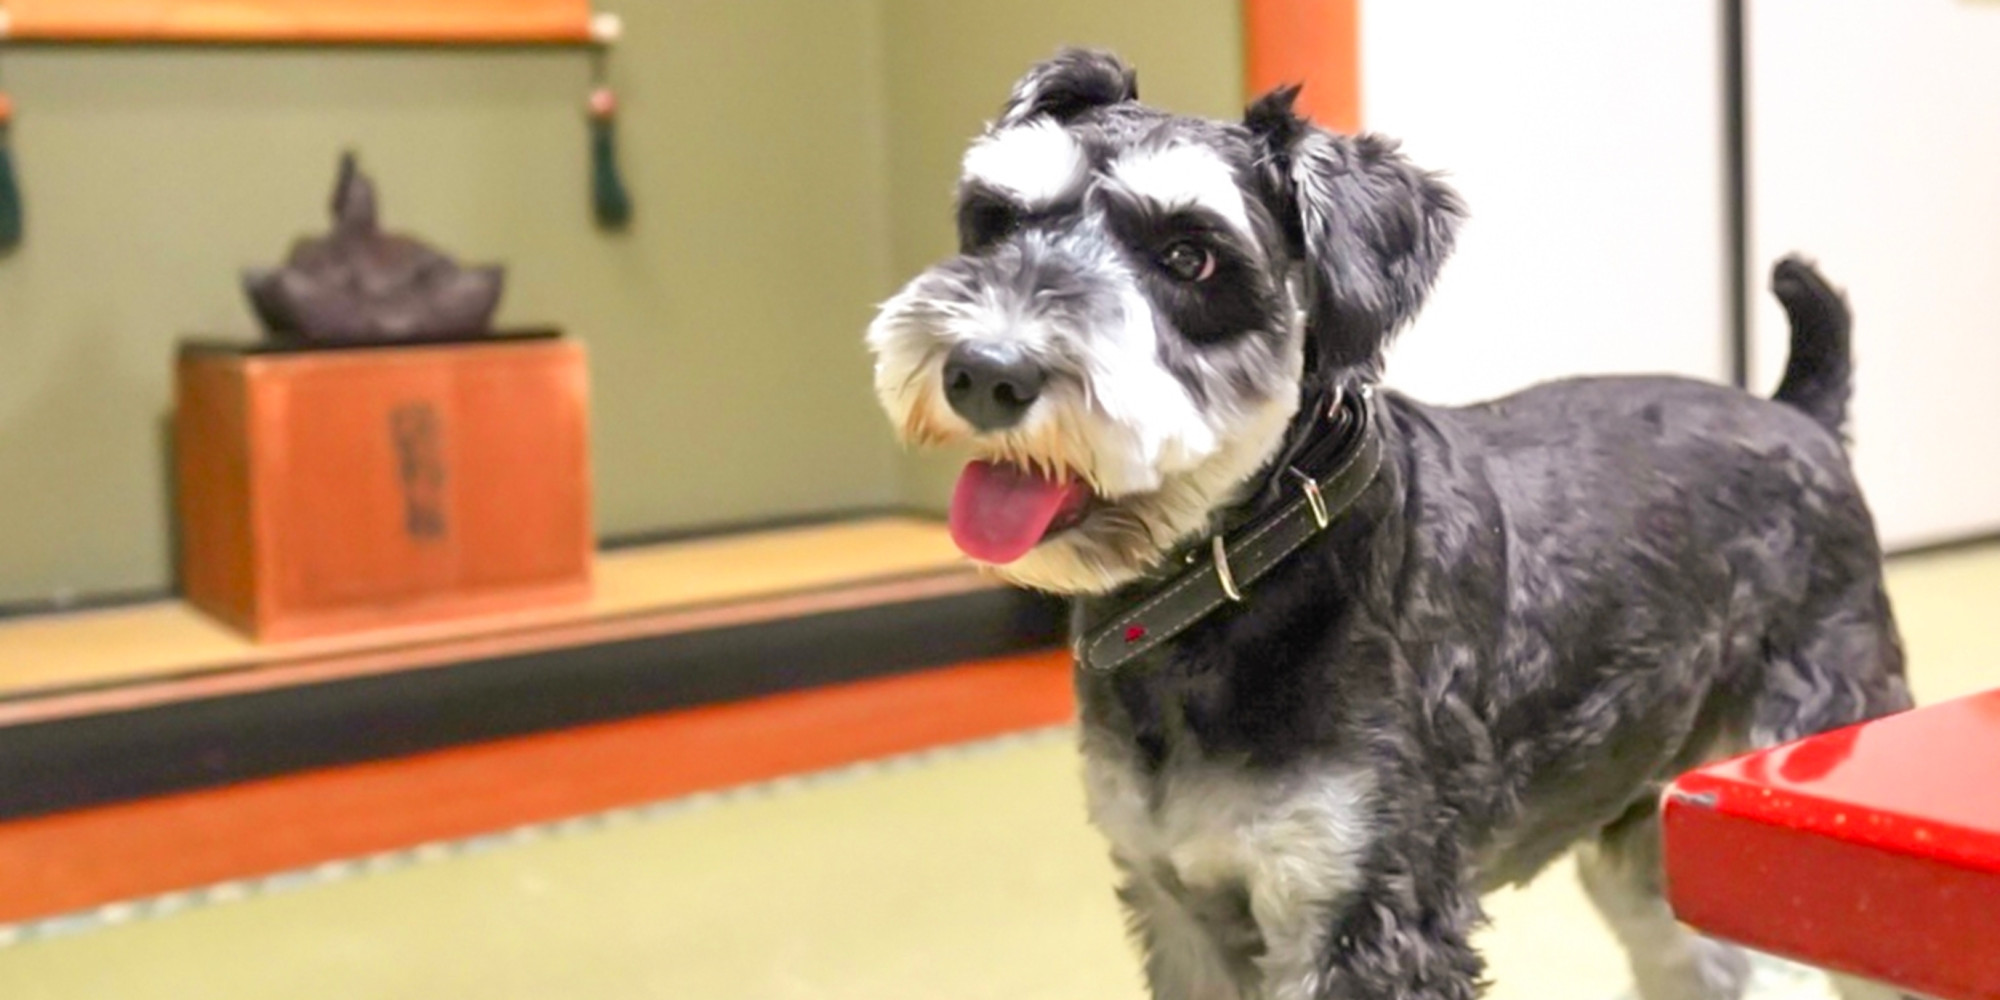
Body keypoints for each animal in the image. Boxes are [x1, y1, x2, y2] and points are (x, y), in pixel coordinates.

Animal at [865, 49, 1912, 1000]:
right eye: (996, 219)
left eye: (1190, 256)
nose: (985, 371)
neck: (1246, 569)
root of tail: (1799, 415)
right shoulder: (1181, 905)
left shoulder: (1366, 912)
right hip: (1664, 840)